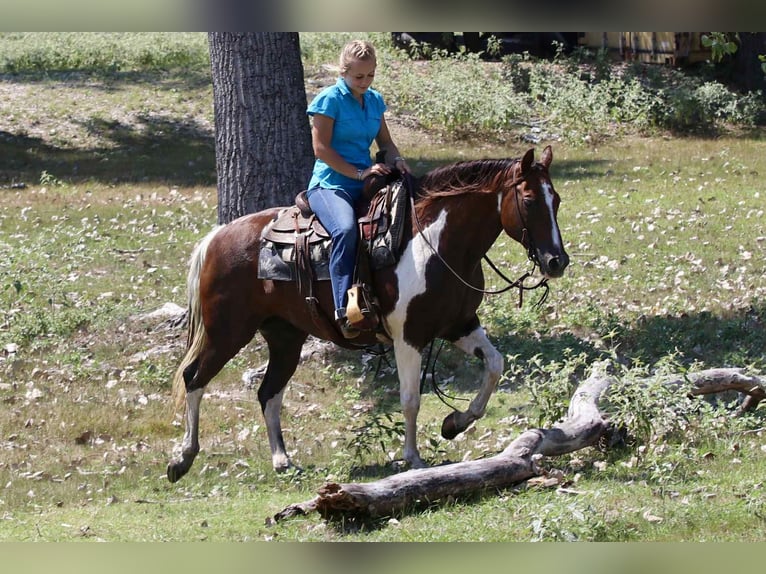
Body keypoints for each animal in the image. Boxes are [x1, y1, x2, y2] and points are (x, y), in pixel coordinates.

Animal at [166, 145, 569, 482]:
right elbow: (410, 398)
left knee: (269, 392)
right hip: (227, 331)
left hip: (285, 337)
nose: (557, 261)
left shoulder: (460, 325)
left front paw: (455, 422)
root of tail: (217, 237)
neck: (438, 245)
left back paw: (282, 460)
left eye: (557, 200)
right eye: (529, 200)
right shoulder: (408, 337)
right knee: (194, 378)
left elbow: (495, 365)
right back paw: (182, 459)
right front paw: (413, 457)